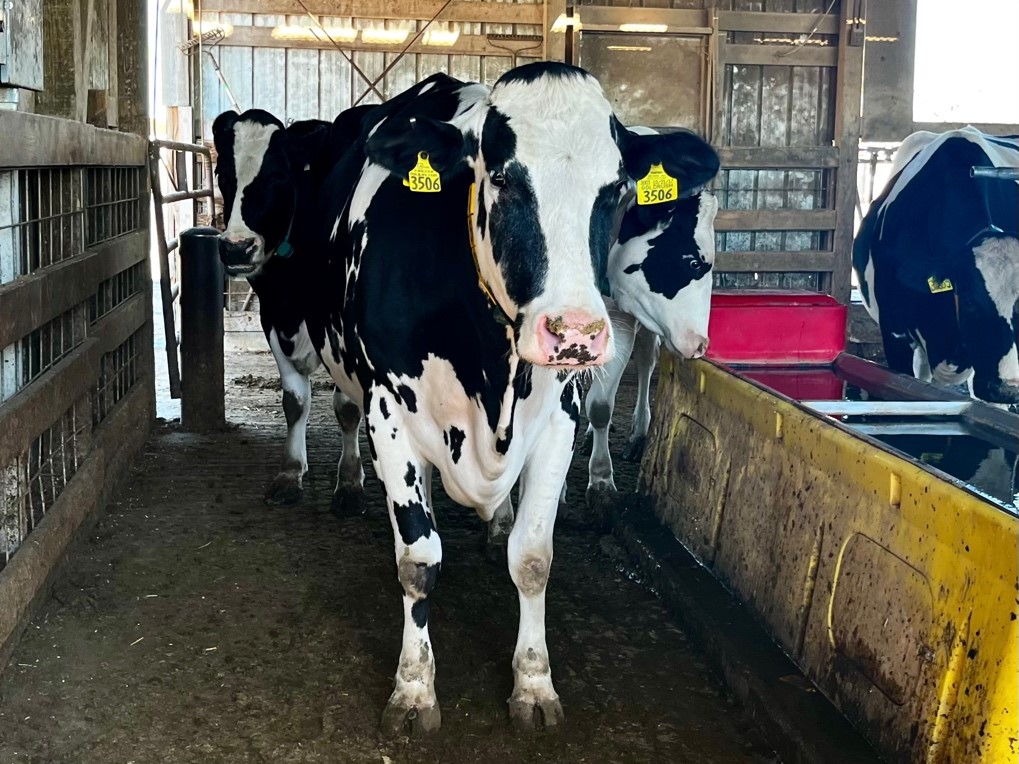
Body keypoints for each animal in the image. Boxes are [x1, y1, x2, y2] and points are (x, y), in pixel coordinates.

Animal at [212, 64, 717, 737]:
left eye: (618, 190)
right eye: (501, 178)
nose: (577, 334)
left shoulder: (558, 419)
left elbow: (532, 558)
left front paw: (534, 683)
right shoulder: (388, 414)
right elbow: (417, 560)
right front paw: (413, 688)